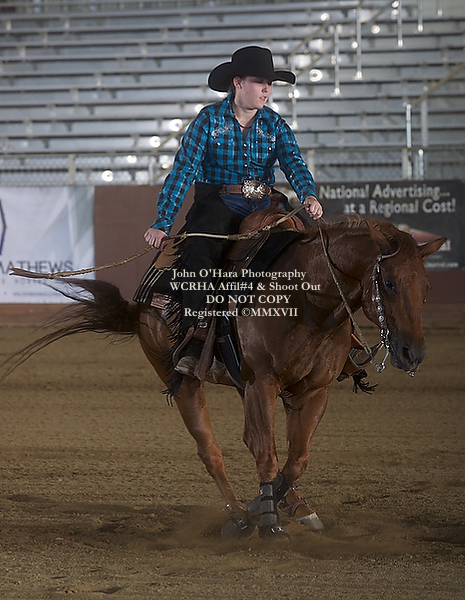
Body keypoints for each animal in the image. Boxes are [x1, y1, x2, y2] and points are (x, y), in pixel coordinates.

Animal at [1, 216, 445, 541]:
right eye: (388, 282)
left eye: (426, 286)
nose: (413, 353)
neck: (303, 297)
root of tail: (140, 302)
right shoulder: (262, 382)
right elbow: (267, 454)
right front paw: (266, 520)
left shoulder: (311, 391)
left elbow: (296, 458)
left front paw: (283, 505)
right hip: (185, 380)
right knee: (211, 450)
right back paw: (238, 516)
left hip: (243, 385)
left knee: (256, 442)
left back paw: (279, 506)